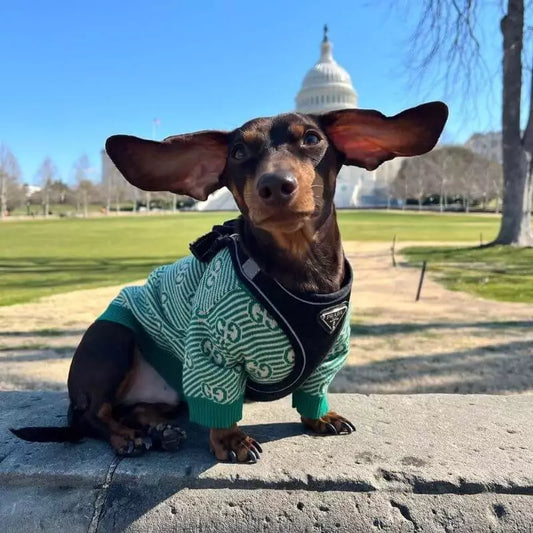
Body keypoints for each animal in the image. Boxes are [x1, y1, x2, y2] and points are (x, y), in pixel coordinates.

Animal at [11, 102, 444, 460]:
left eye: (312, 139)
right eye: (238, 153)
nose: (275, 184)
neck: (299, 269)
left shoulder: (330, 356)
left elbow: (313, 390)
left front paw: (320, 418)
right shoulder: (210, 352)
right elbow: (220, 402)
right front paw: (230, 441)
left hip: (164, 392)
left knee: (134, 410)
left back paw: (158, 431)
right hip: (112, 337)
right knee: (93, 416)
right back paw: (127, 437)